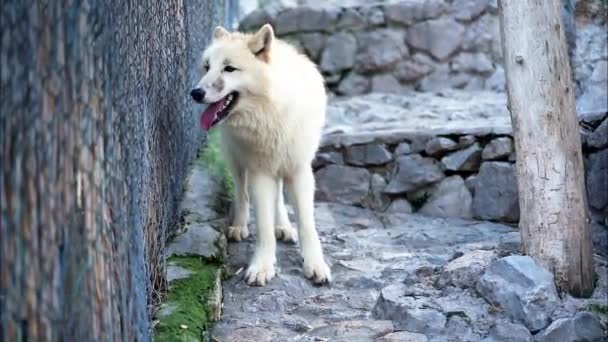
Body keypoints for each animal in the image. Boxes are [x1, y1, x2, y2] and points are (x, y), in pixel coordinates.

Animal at [191, 23, 330, 286]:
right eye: (206, 67)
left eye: (229, 68)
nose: (195, 92)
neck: (270, 113)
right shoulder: (260, 173)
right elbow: (263, 226)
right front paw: (262, 266)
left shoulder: (299, 171)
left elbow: (307, 224)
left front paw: (315, 265)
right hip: (236, 161)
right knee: (241, 193)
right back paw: (239, 226)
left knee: (279, 198)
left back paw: (284, 227)